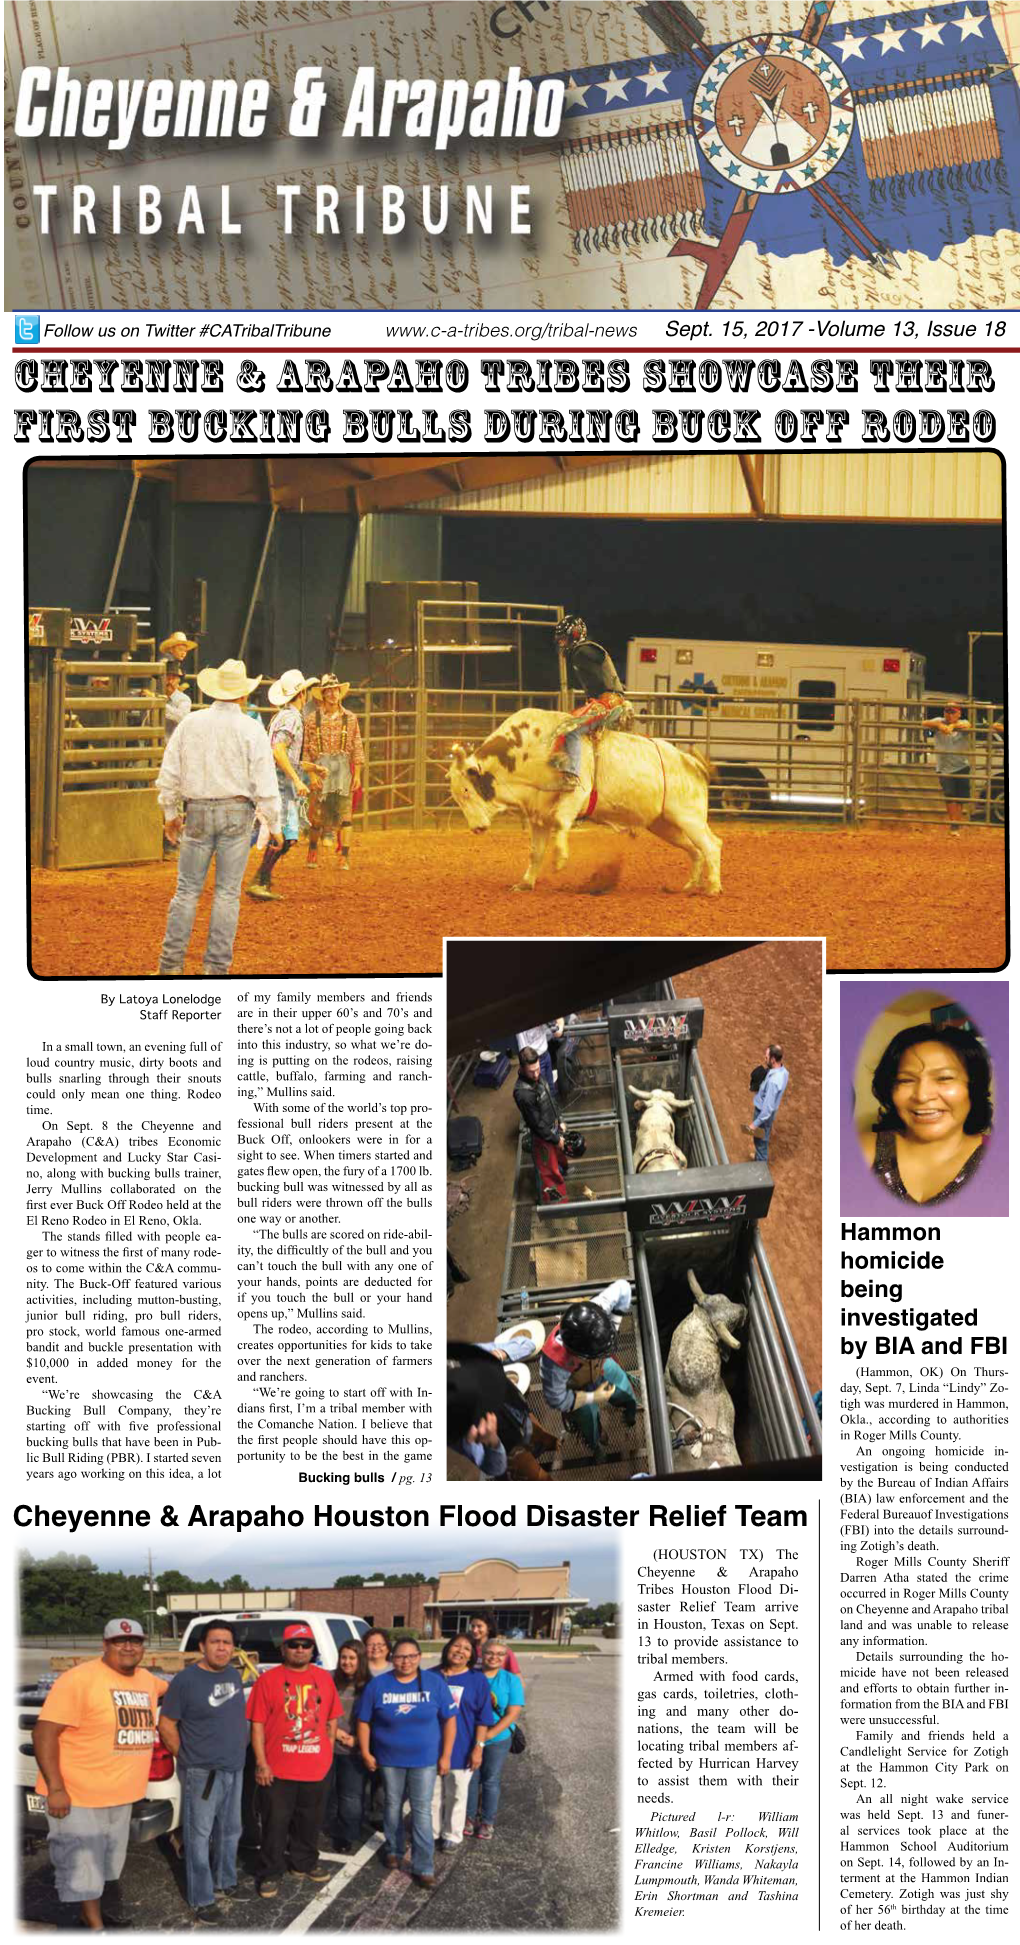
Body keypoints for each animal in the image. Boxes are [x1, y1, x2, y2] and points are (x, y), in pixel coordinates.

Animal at [447, 711, 724, 890]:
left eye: (467, 791)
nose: (476, 828)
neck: (530, 752)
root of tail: (691, 762)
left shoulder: (576, 793)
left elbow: (561, 822)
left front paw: (560, 859)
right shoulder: (538, 815)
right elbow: (535, 852)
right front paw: (525, 883)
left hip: (688, 817)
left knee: (711, 845)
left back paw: (712, 888)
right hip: (665, 824)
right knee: (694, 849)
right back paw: (690, 885)